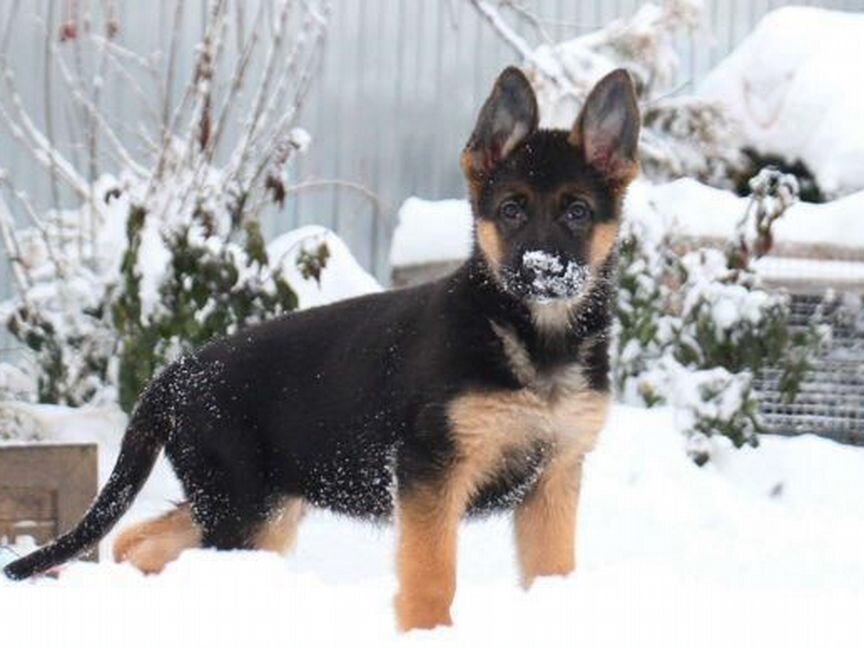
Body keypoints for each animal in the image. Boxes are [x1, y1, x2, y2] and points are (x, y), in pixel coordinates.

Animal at [3, 68, 636, 632]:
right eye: (511, 210)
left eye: (577, 212)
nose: (542, 270)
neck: (533, 336)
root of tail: (173, 374)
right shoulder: (430, 474)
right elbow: (431, 574)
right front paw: (428, 632)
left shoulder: (555, 478)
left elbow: (552, 570)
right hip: (244, 510)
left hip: (256, 505)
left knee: (137, 540)